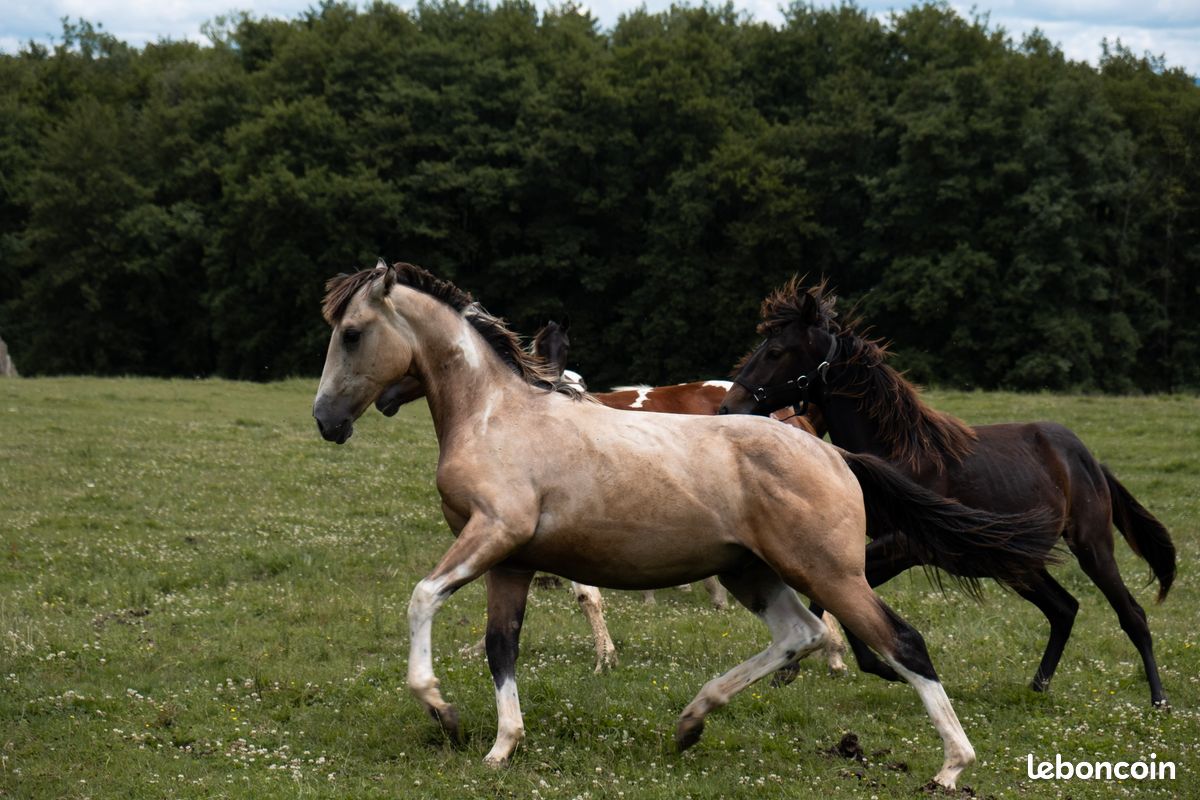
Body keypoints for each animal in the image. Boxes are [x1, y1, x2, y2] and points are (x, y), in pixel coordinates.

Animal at [312, 261, 1063, 789]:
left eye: (351, 334)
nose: (327, 420)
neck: (496, 417)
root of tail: (834, 452)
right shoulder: (514, 562)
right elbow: (503, 647)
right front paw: (501, 745)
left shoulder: (492, 536)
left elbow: (421, 598)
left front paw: (440, 710)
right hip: (751, 571)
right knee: (801, 635)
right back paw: (691, 721)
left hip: (829, 572)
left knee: (897, 641)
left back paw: (953, 764)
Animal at [720, 278, 1177, 708]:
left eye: (776, 351)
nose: (728, 406)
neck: (899, 452)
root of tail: (1088, 459)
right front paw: (803, 668)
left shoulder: (906, 547)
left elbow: (842, 601)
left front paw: (867, 667)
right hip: (1017, 562)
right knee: (1064, 609)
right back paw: (1036, 688)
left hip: (1091, 548)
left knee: (1131, 615)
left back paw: (1159, 701)